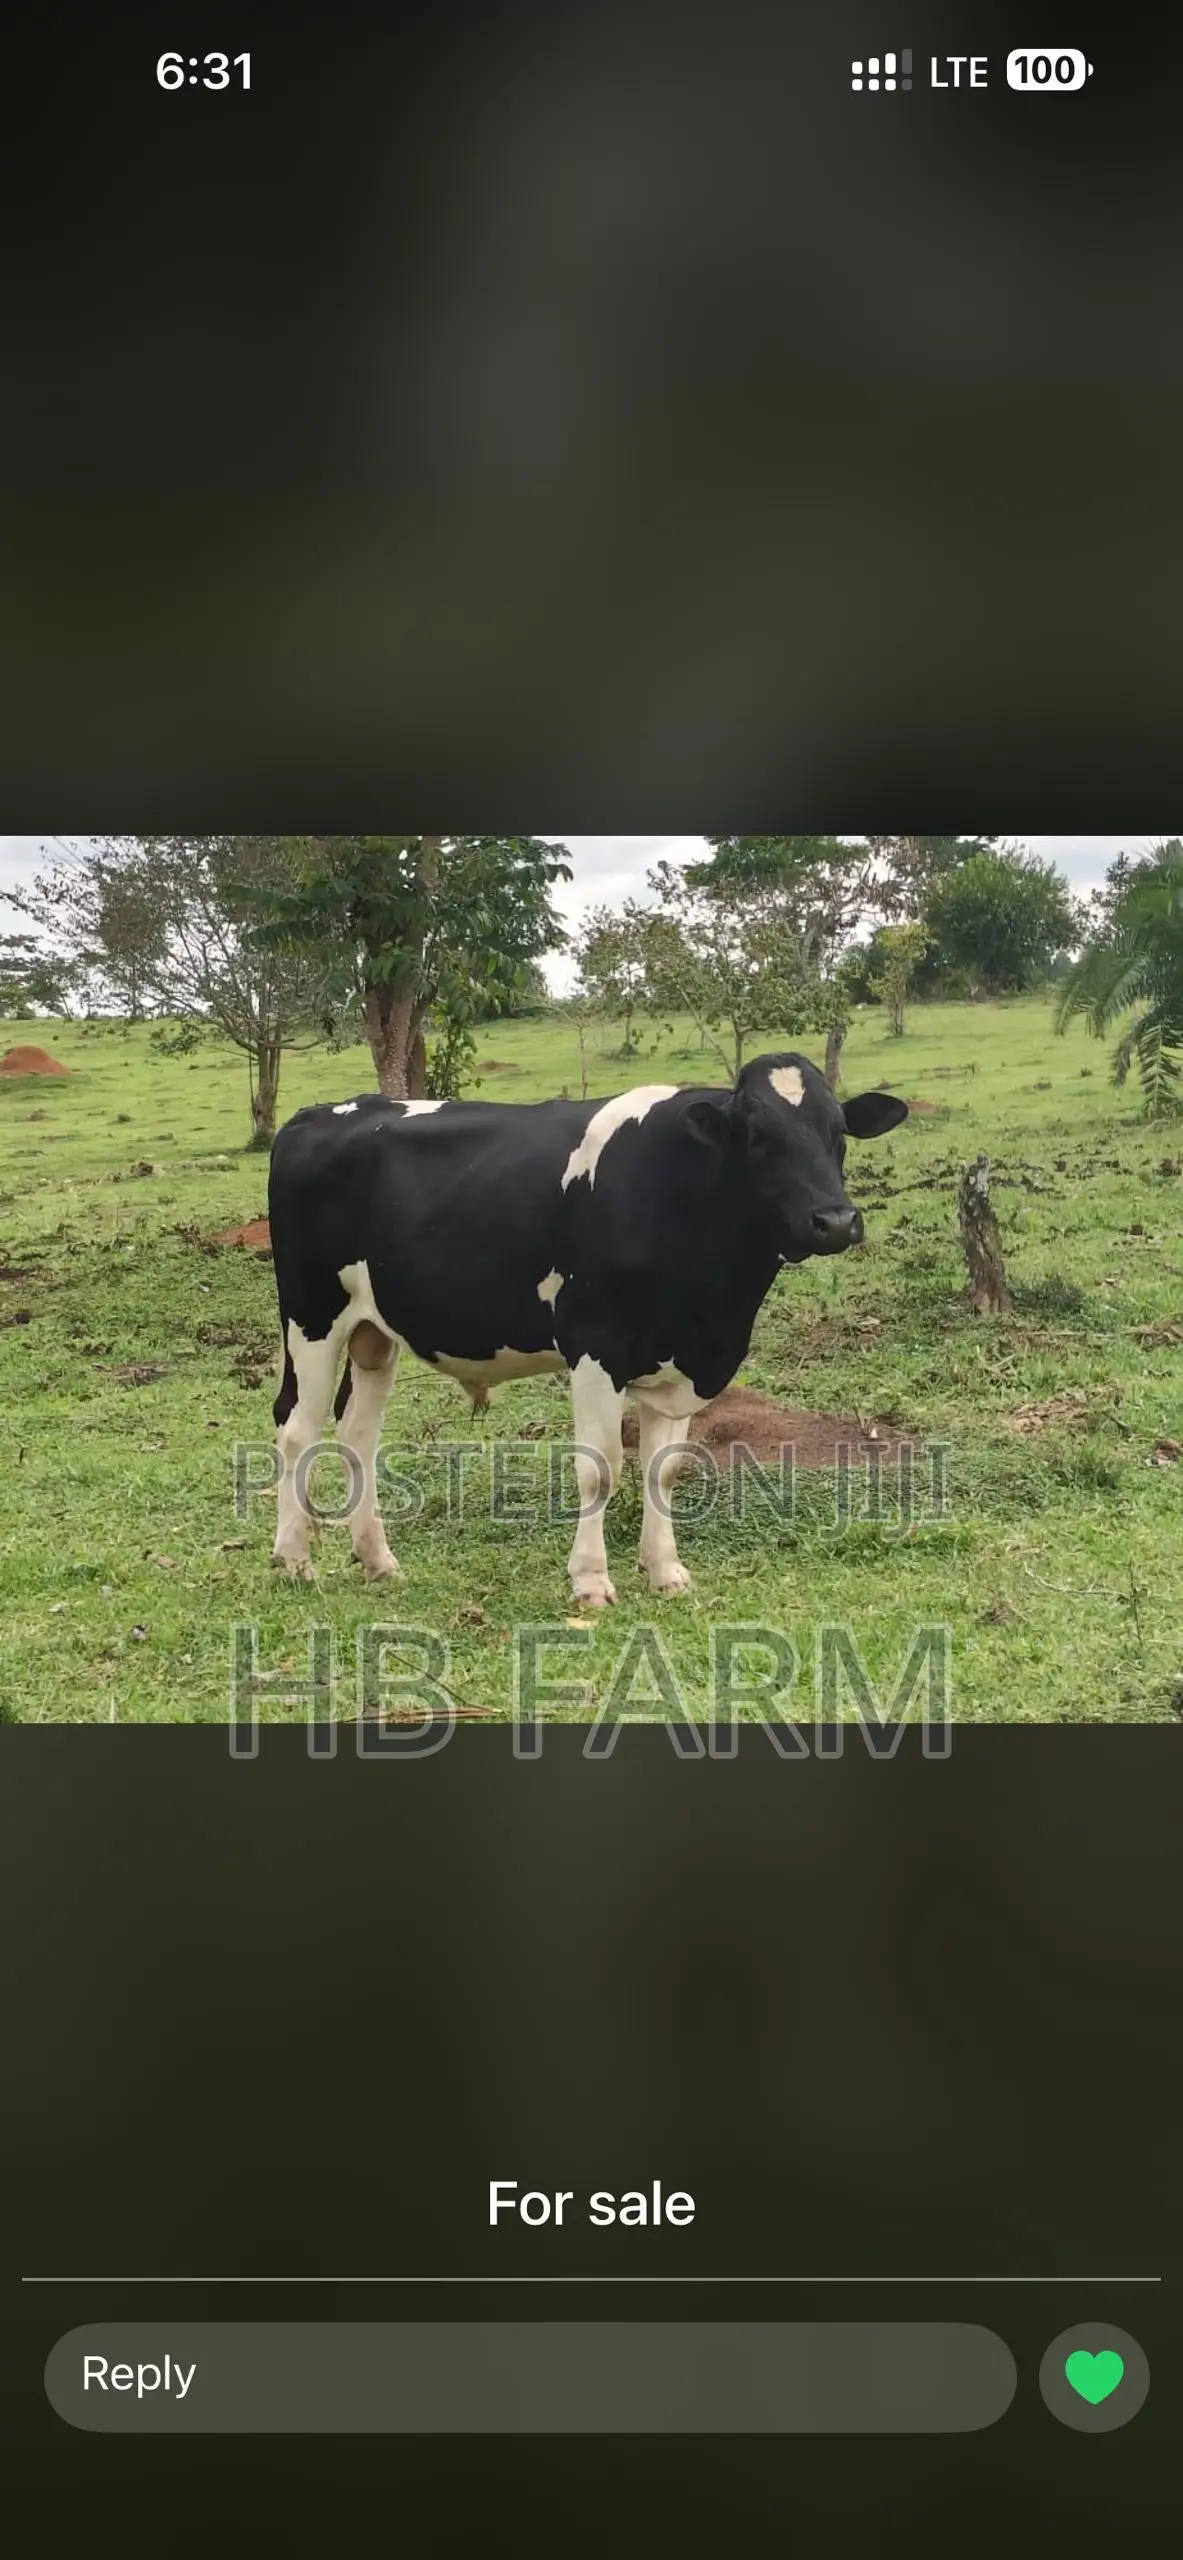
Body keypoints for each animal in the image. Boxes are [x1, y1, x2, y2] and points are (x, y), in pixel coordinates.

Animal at [266, 1054, 907, 1603]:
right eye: (758, 1136)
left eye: (838, 1132)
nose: (836, 1220)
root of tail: (319, 1113)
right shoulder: (596, 1345)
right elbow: (599, 1468)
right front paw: (591, 1582)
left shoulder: (682, 1360)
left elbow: (664, 1470)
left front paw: (666, 1570)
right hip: (311, 1315)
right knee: (297, 1428)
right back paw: (294, 1560)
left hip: (374, 1331)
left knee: (358, 1434)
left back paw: (378, 1561)